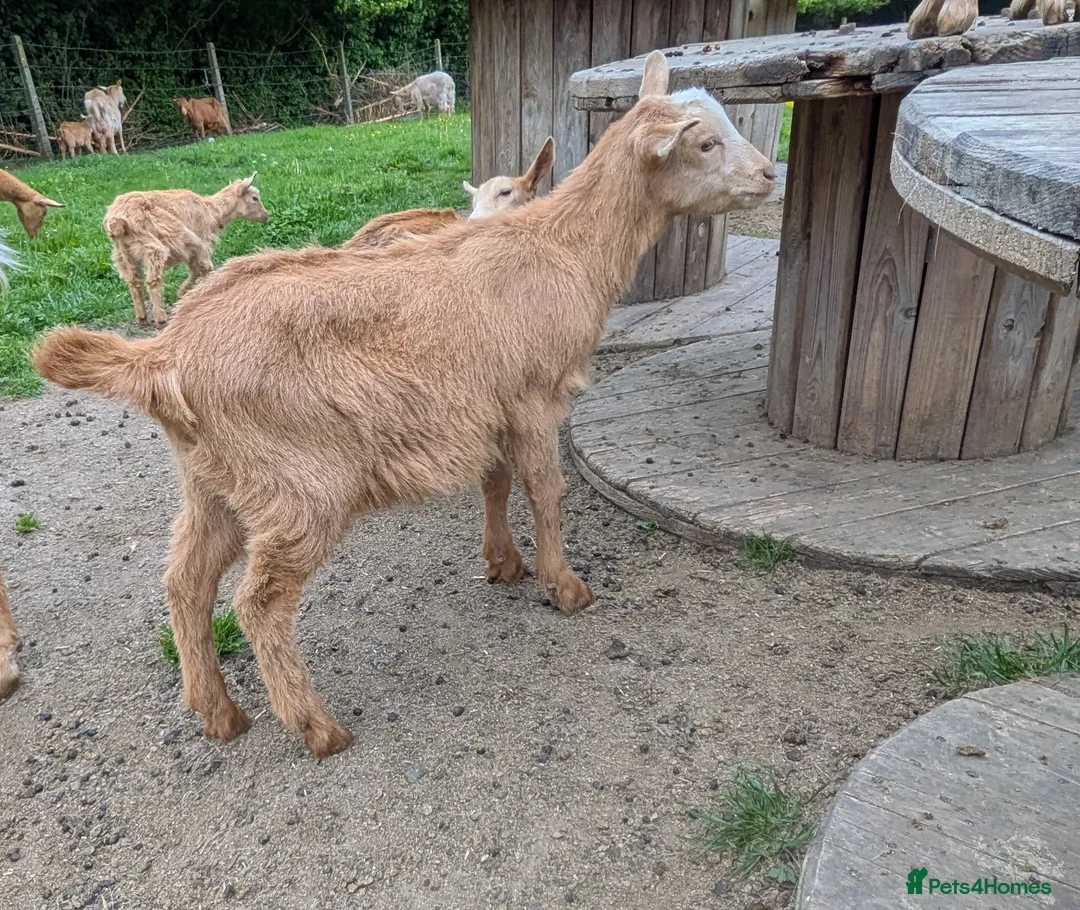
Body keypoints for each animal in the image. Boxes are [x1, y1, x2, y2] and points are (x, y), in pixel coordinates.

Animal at [102, 173, 268, 328]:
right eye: (255, 198)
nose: (266, 216)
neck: (212, 211)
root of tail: (117, 221)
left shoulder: (193, 250)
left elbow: (195, 269)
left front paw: (182, 293)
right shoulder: (201, 244)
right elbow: (205, 269)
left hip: (123, 252)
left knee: (134, 281)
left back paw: (142, 317)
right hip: (155, 244)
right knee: (153, 281)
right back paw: (161, 319)